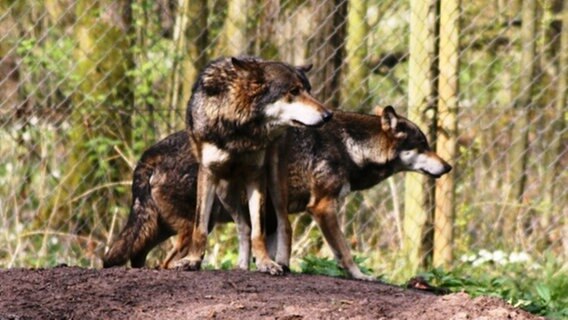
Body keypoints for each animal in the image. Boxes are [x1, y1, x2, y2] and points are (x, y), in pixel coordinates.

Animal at [103, 105, 452, 280]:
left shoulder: (275, 214)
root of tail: (150, 153)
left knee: (137, 255)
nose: (448, 166)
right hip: (194, 227)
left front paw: (273, 267)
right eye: (423, 145)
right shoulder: (322, 207)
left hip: (164, 227)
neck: (350, 146)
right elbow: (344, 252)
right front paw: (361, 276)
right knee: (163, 262)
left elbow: (276, 243)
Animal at [182, 56, 332, 274]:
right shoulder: (208, 173)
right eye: (294, 91)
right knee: (244, 227)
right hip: (224, 191)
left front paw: (265, 263)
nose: (329, 115)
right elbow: (199, 227)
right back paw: (241, 267)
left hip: (275, 182)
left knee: (284, 224)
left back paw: (282, 263)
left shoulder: (256, 175)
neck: (239, 129)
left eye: (309, 90)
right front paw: (192, 260)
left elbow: (259, 230)